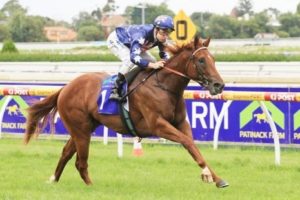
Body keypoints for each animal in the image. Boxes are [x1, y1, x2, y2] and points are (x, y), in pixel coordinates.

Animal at [24, 35, 227, 188]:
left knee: (67, 153)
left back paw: (53, 180)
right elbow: (187, 142)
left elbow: (193, 146)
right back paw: (91, 187)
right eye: (201, 60)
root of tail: (66, 88)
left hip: (84, 127)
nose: (219, 85)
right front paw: (209, 174)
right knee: (81, 161)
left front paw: (215, 178)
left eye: (214, 59)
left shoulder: (180, 123)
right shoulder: (158, 125)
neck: (164, 86)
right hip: (80, 128)